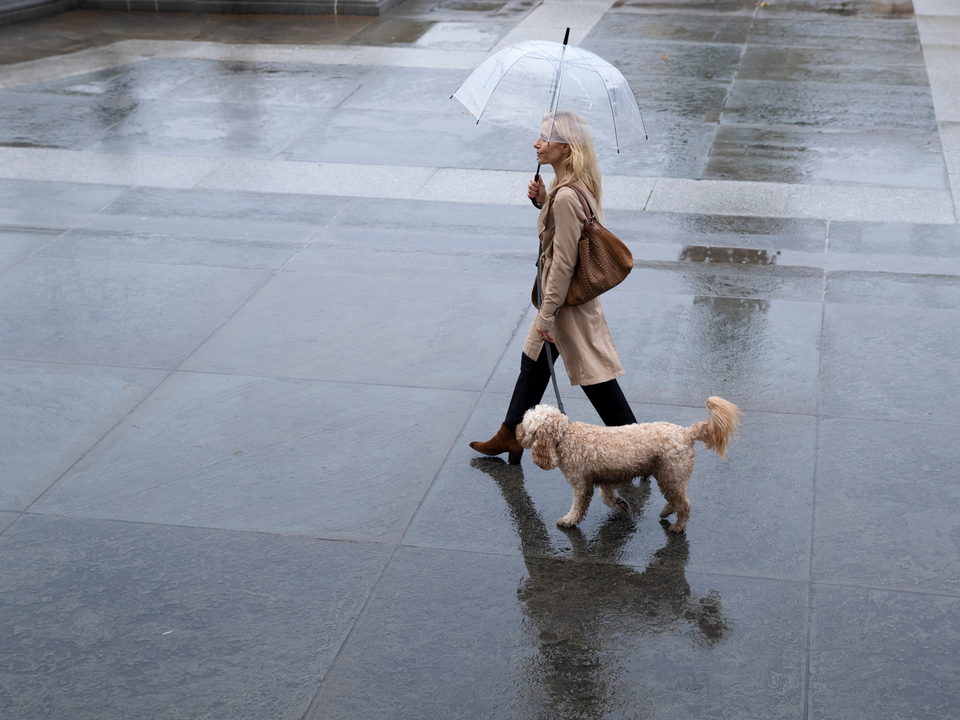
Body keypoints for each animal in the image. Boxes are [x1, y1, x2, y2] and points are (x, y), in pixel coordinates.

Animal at [516, 396, 744, 532]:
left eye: (526, 425)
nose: (516, 430)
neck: (565, 437)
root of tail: (686, 433)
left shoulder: (581, 485)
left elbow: (578, 507)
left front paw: (569, 520)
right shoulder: (605, 478)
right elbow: (607, 498)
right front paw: (621, 504)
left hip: (671, 475)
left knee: (684, 504)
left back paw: (678, 527)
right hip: (670, 477)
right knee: (677, 500)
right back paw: (666, 512)